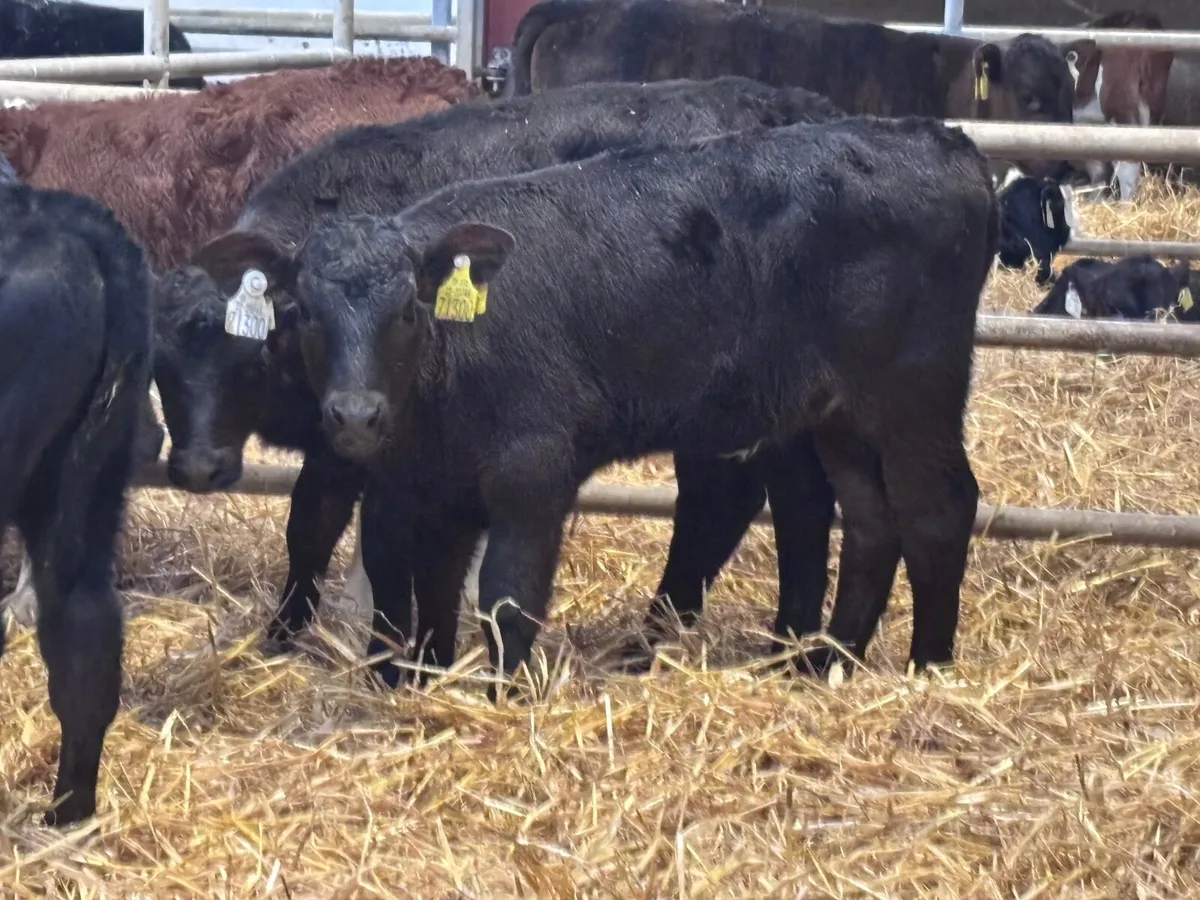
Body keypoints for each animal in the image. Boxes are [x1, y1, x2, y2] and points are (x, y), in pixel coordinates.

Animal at [151, 76, 850, 671]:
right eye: (157, 363)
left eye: (253, 356)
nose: (199, 468)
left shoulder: (365, 448)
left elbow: (328, 531)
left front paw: (334, 644)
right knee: (797, 503)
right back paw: (786, 646)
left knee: (723, 503)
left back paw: (671, 643)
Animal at [245, 115, 999, 697]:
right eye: (302, 314)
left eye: (408, 310)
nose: (355, 414)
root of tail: (945, 139)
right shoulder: (438, 488)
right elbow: (432, 589)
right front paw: (425, 682)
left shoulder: (531, 471)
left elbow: (508, 598)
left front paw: (502, 700)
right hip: (841, 418)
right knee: (871, 522)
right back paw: (823, 663)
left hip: (915, 399)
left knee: (938, 510)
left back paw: (928, 669)